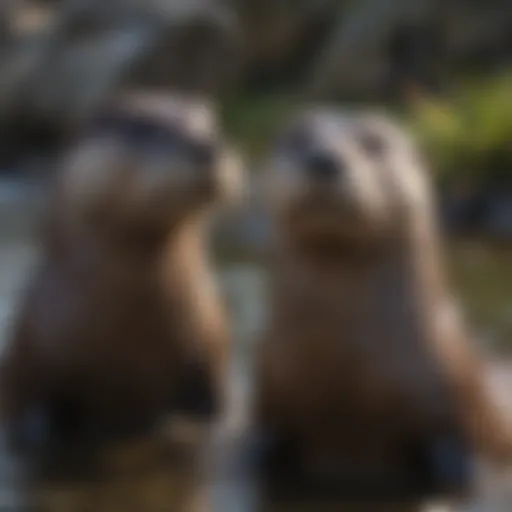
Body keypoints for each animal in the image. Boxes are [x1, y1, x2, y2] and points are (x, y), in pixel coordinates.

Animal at [252, 107, 512, 504]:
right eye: (297, 136)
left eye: (374, 142)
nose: (324, 159)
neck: (347, 369)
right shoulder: (272, 406)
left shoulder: (451, 417)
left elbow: (457, 469)